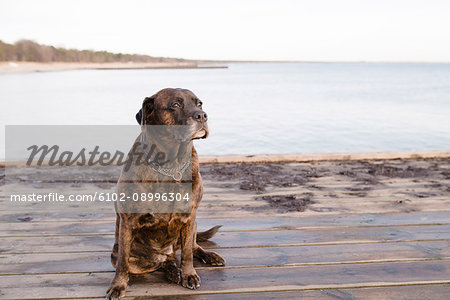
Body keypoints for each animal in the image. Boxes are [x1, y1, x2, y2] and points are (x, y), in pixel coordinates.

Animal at [105, 88, 225, 298]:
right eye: (175, 105)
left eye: (199, 103)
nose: (202, 115)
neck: (171, 163)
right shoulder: (128, 221)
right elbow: (123, 264)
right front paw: (118, 285)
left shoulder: (190, 216)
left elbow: (187, 253)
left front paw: (188, 274)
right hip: (125, 253)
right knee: (161, 261)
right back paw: (171, 271)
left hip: (193, 227)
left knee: (191, 248)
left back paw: (206, 257)